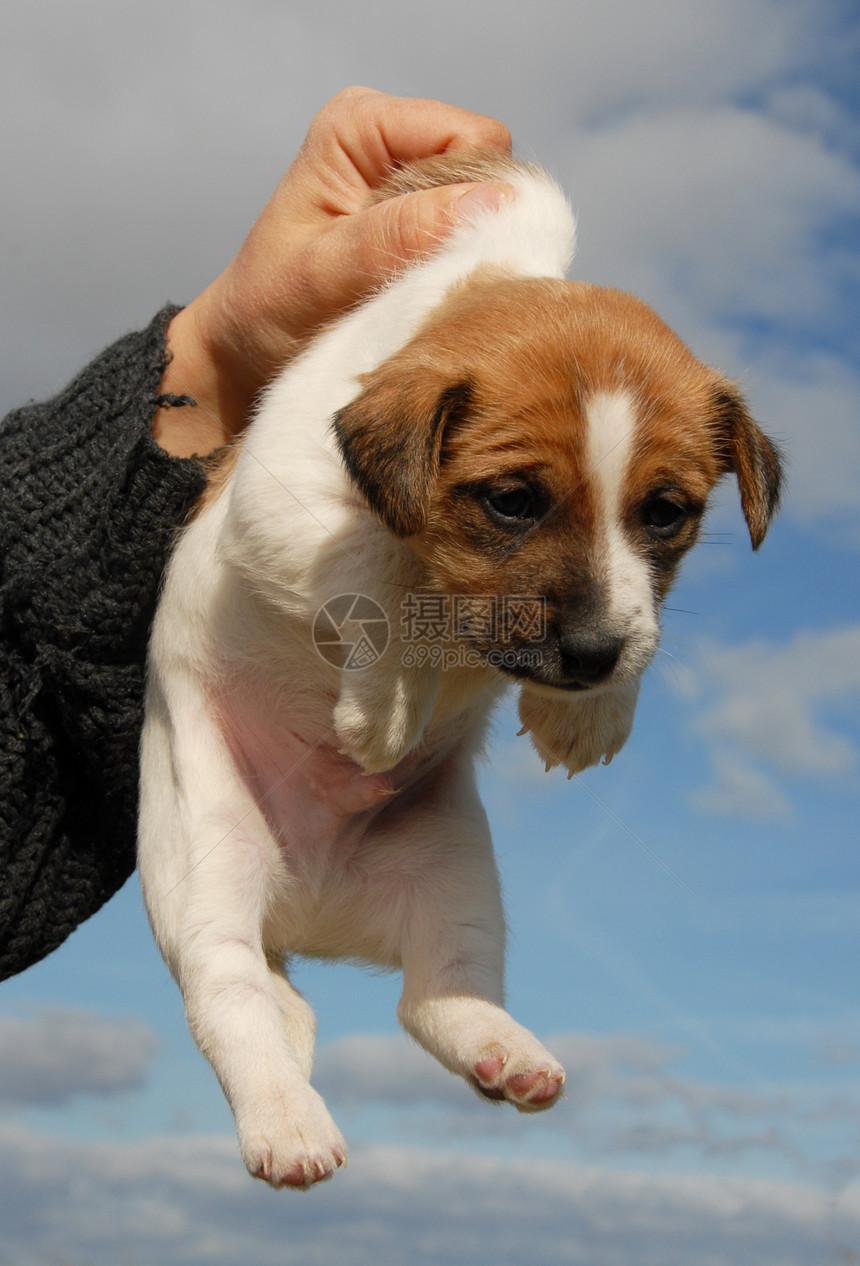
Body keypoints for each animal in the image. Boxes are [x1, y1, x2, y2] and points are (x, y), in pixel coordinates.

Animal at [138, 153, 785, 1190]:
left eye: (666, 513)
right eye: (512, 501)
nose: (589, 661)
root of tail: (310, 912)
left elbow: (632, 610)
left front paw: (594, 711)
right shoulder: (282, 507)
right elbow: (385, 564)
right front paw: (385, 703)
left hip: (455, 873)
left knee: (433, 994)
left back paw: (502, 1051)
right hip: (205, 866)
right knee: (233, 997)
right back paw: (286, 1118)